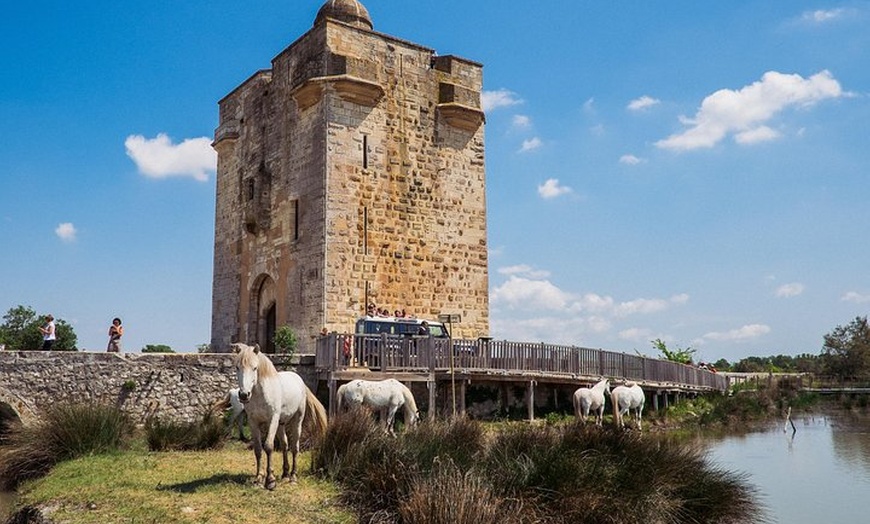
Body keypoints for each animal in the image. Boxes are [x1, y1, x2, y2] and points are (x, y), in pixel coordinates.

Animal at [232, 342, 328, 490]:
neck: (261, 394)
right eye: (237, 367)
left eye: (255, 368)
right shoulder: (254, 422)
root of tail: (299, 380)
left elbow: (268, 446)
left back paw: (293, 476)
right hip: (281, 424)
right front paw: (259, 478)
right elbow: (258, 449)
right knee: (285, 445)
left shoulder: (272, 420)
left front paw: (270, 480)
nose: (244, 395)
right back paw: (285, 474)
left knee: (294, 447)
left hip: (296, 421)